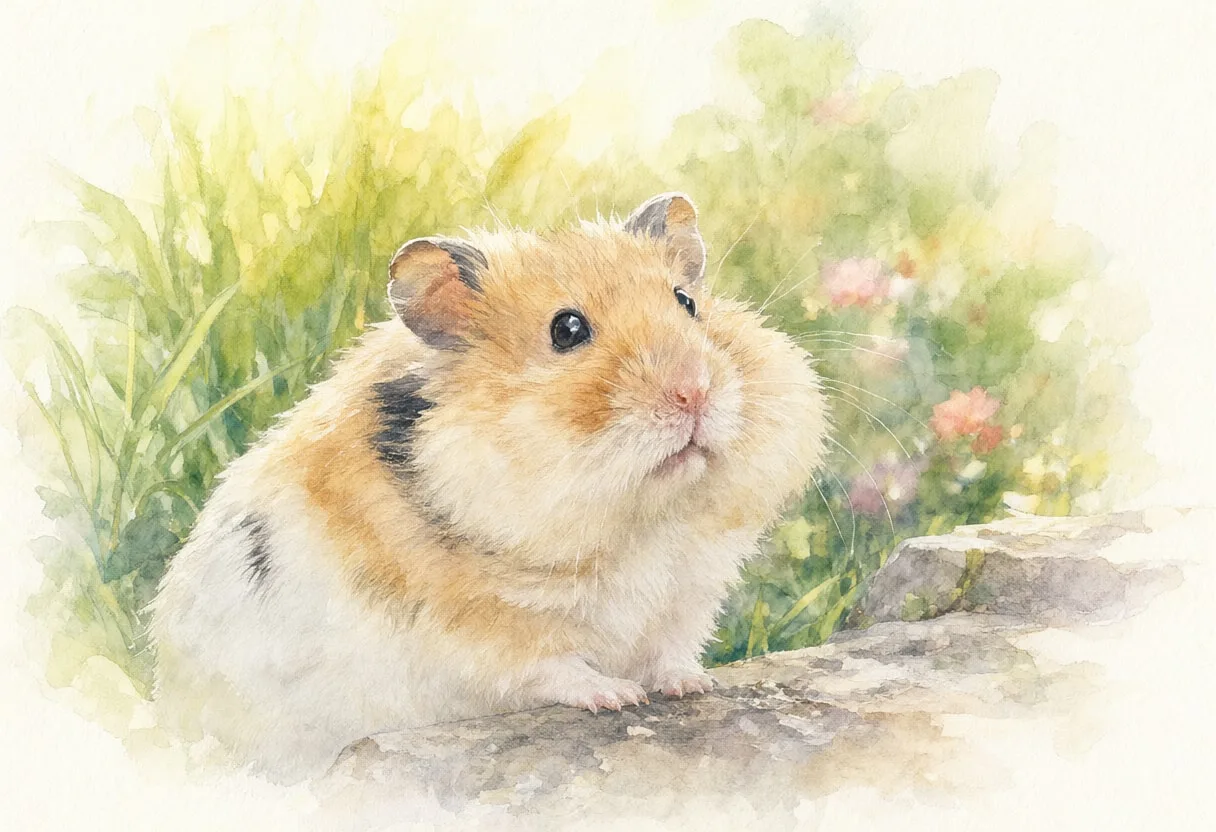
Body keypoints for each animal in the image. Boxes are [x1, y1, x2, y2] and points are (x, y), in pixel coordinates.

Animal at [150, 193, 827, 781]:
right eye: (567, 329)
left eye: (686, 302)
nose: (695, 391)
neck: (639, 519)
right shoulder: (484, 633)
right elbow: (555, 668)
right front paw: (617, 696)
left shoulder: (684, 596)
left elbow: (669, 652)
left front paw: (693, 684)